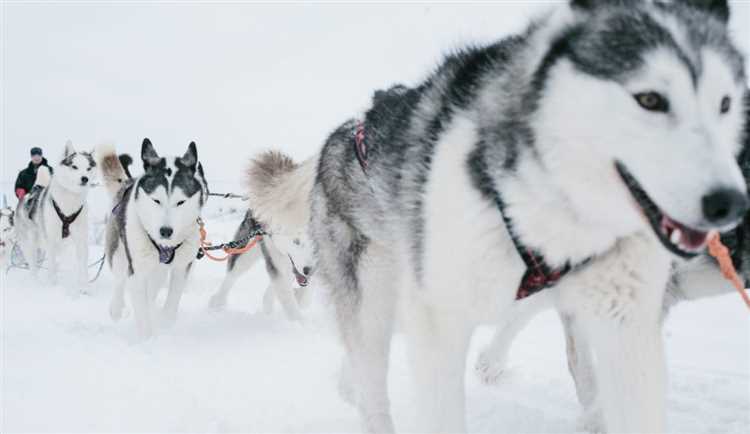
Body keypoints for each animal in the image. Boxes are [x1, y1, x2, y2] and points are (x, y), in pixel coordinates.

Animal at [14, 142, 96, 288]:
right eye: (74, 166)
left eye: (88, 168)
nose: (85, 178)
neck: (69, 204)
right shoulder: (51, 240)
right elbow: (51, 267)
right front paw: (53, 286)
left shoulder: (81, 239)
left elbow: (82, 266)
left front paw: (84, 288)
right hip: (30, 243)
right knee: (33, 264)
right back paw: (35, 281)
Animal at [100, 140, 209, 340]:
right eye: (156, 200)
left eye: (180, 202)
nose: (165, 231)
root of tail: (127, 182)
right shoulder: (137, 269)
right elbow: (141, 309)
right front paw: (146, 339)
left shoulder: (182, 266)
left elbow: (173, 297)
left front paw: (165, 322)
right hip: (118, 250)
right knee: (120, 279)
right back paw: (116, 308)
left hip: (159, 269)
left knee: (153, 287)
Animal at [209, 152, 318, 318]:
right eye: (296, 241)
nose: (308, 270)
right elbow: (290, 303)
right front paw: (298, 322)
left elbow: (305, 295)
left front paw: (300, 298)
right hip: (247, 250)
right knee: (232, 276)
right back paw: (218, 302)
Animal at [308, 1, 748, 432]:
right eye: (651, 99)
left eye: (725, 104)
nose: (728, 202)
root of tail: (350, 129)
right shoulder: (437, 317)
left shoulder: (626, 322)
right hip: (378, 300)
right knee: (372, 385)